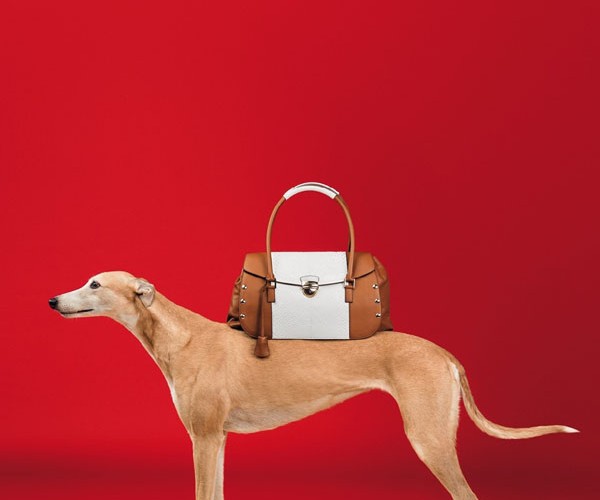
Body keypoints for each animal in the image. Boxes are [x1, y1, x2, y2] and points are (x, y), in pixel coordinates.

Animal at [49, 271, 578, 500]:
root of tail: (444, 353)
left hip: (429, 438)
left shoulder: (203, 438)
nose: (53, 300)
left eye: (95, 284)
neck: (181, 336)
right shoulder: (216, 440)